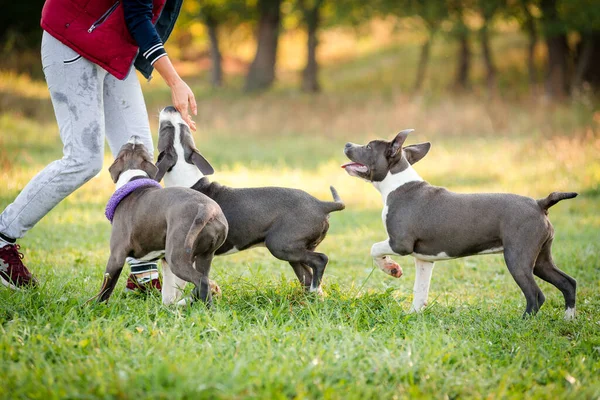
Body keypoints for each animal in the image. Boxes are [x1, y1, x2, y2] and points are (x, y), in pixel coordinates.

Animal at [92, 136, 229, 308]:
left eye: (125, 147)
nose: (135, 137)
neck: (134, 175)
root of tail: (206, 208)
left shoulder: (116, 257)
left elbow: (106, 288)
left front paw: (95, 307)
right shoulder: (165, 261)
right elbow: (168, 292)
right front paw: (166, 308)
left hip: (177, 258)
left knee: (202, 280)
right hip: (204, 255)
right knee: (204, 280)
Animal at [152, 106, 344, 294]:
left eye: (165, 128)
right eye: (182, 128)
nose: (172, 107)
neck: (183, 173)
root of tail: (322, 204)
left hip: (281, 244)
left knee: (320, 260)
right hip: (294, 250)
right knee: (307, 275)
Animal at [344, 129, 580, 318]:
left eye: (368, 146)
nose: (347, 144)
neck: (397, 184)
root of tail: (540, 203)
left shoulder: (400, 243)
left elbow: (374, 248)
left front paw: (391, 268)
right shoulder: (424, 259)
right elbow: (420, 290)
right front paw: (413, 315)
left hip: (517, 258)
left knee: (536, 295)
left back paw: (523, 323)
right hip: (540, 259)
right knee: (568, 283)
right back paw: (568, 319)